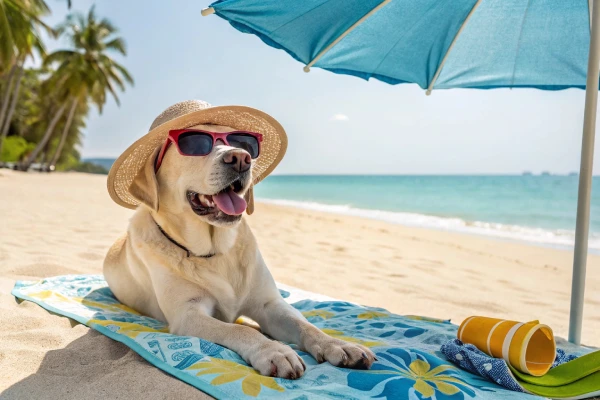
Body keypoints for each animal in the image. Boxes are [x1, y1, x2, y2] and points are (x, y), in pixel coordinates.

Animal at [103, 107, 376, 378]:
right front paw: (273, 350)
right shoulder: (188, 314)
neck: (216, 251)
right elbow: (239, 329)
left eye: (243, 143)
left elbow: (304, 324)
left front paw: (337, 344)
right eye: (195, 144)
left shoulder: (269, 304)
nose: (240, 158)